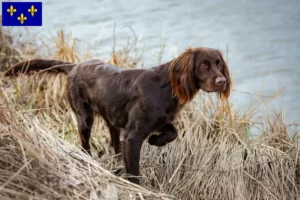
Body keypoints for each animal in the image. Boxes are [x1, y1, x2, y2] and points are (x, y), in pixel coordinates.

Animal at [2, 47, 232, 184]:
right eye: (203, 64)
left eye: (219, 63)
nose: (222, 82)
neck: (166, 87)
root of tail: (75, 65)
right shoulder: (133, 135)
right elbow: (134, 171)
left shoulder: (159, 121)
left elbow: (172, 132)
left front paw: (156, 140)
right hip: (84, 117)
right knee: (84, 144)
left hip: (111, 117)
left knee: (113, 142)